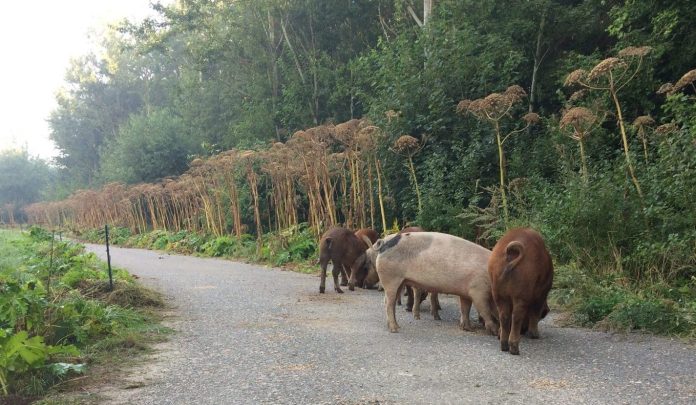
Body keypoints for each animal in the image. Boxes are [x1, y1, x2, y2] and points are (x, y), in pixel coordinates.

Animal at [362, 232, 498, 332]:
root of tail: (384, 243)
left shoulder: (466, 292)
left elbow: (465, 309)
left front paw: (469, 328)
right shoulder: (478, 289)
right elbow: (484, 310)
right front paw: (494, 331)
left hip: (400, 281)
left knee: (391, 301)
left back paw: (396, 326)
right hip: (391, 278)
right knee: (388, 303)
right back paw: (395, 329)